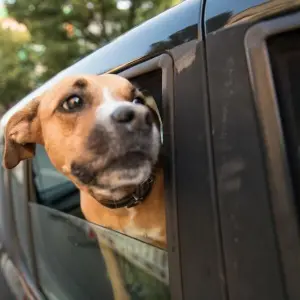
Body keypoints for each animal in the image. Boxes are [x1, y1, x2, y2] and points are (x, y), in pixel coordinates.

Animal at [1, 74, 166, 300]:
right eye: (73, 102)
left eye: (138, 101)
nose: (141, 117)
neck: (124, 205)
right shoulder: (108, 244)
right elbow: (118, 283)